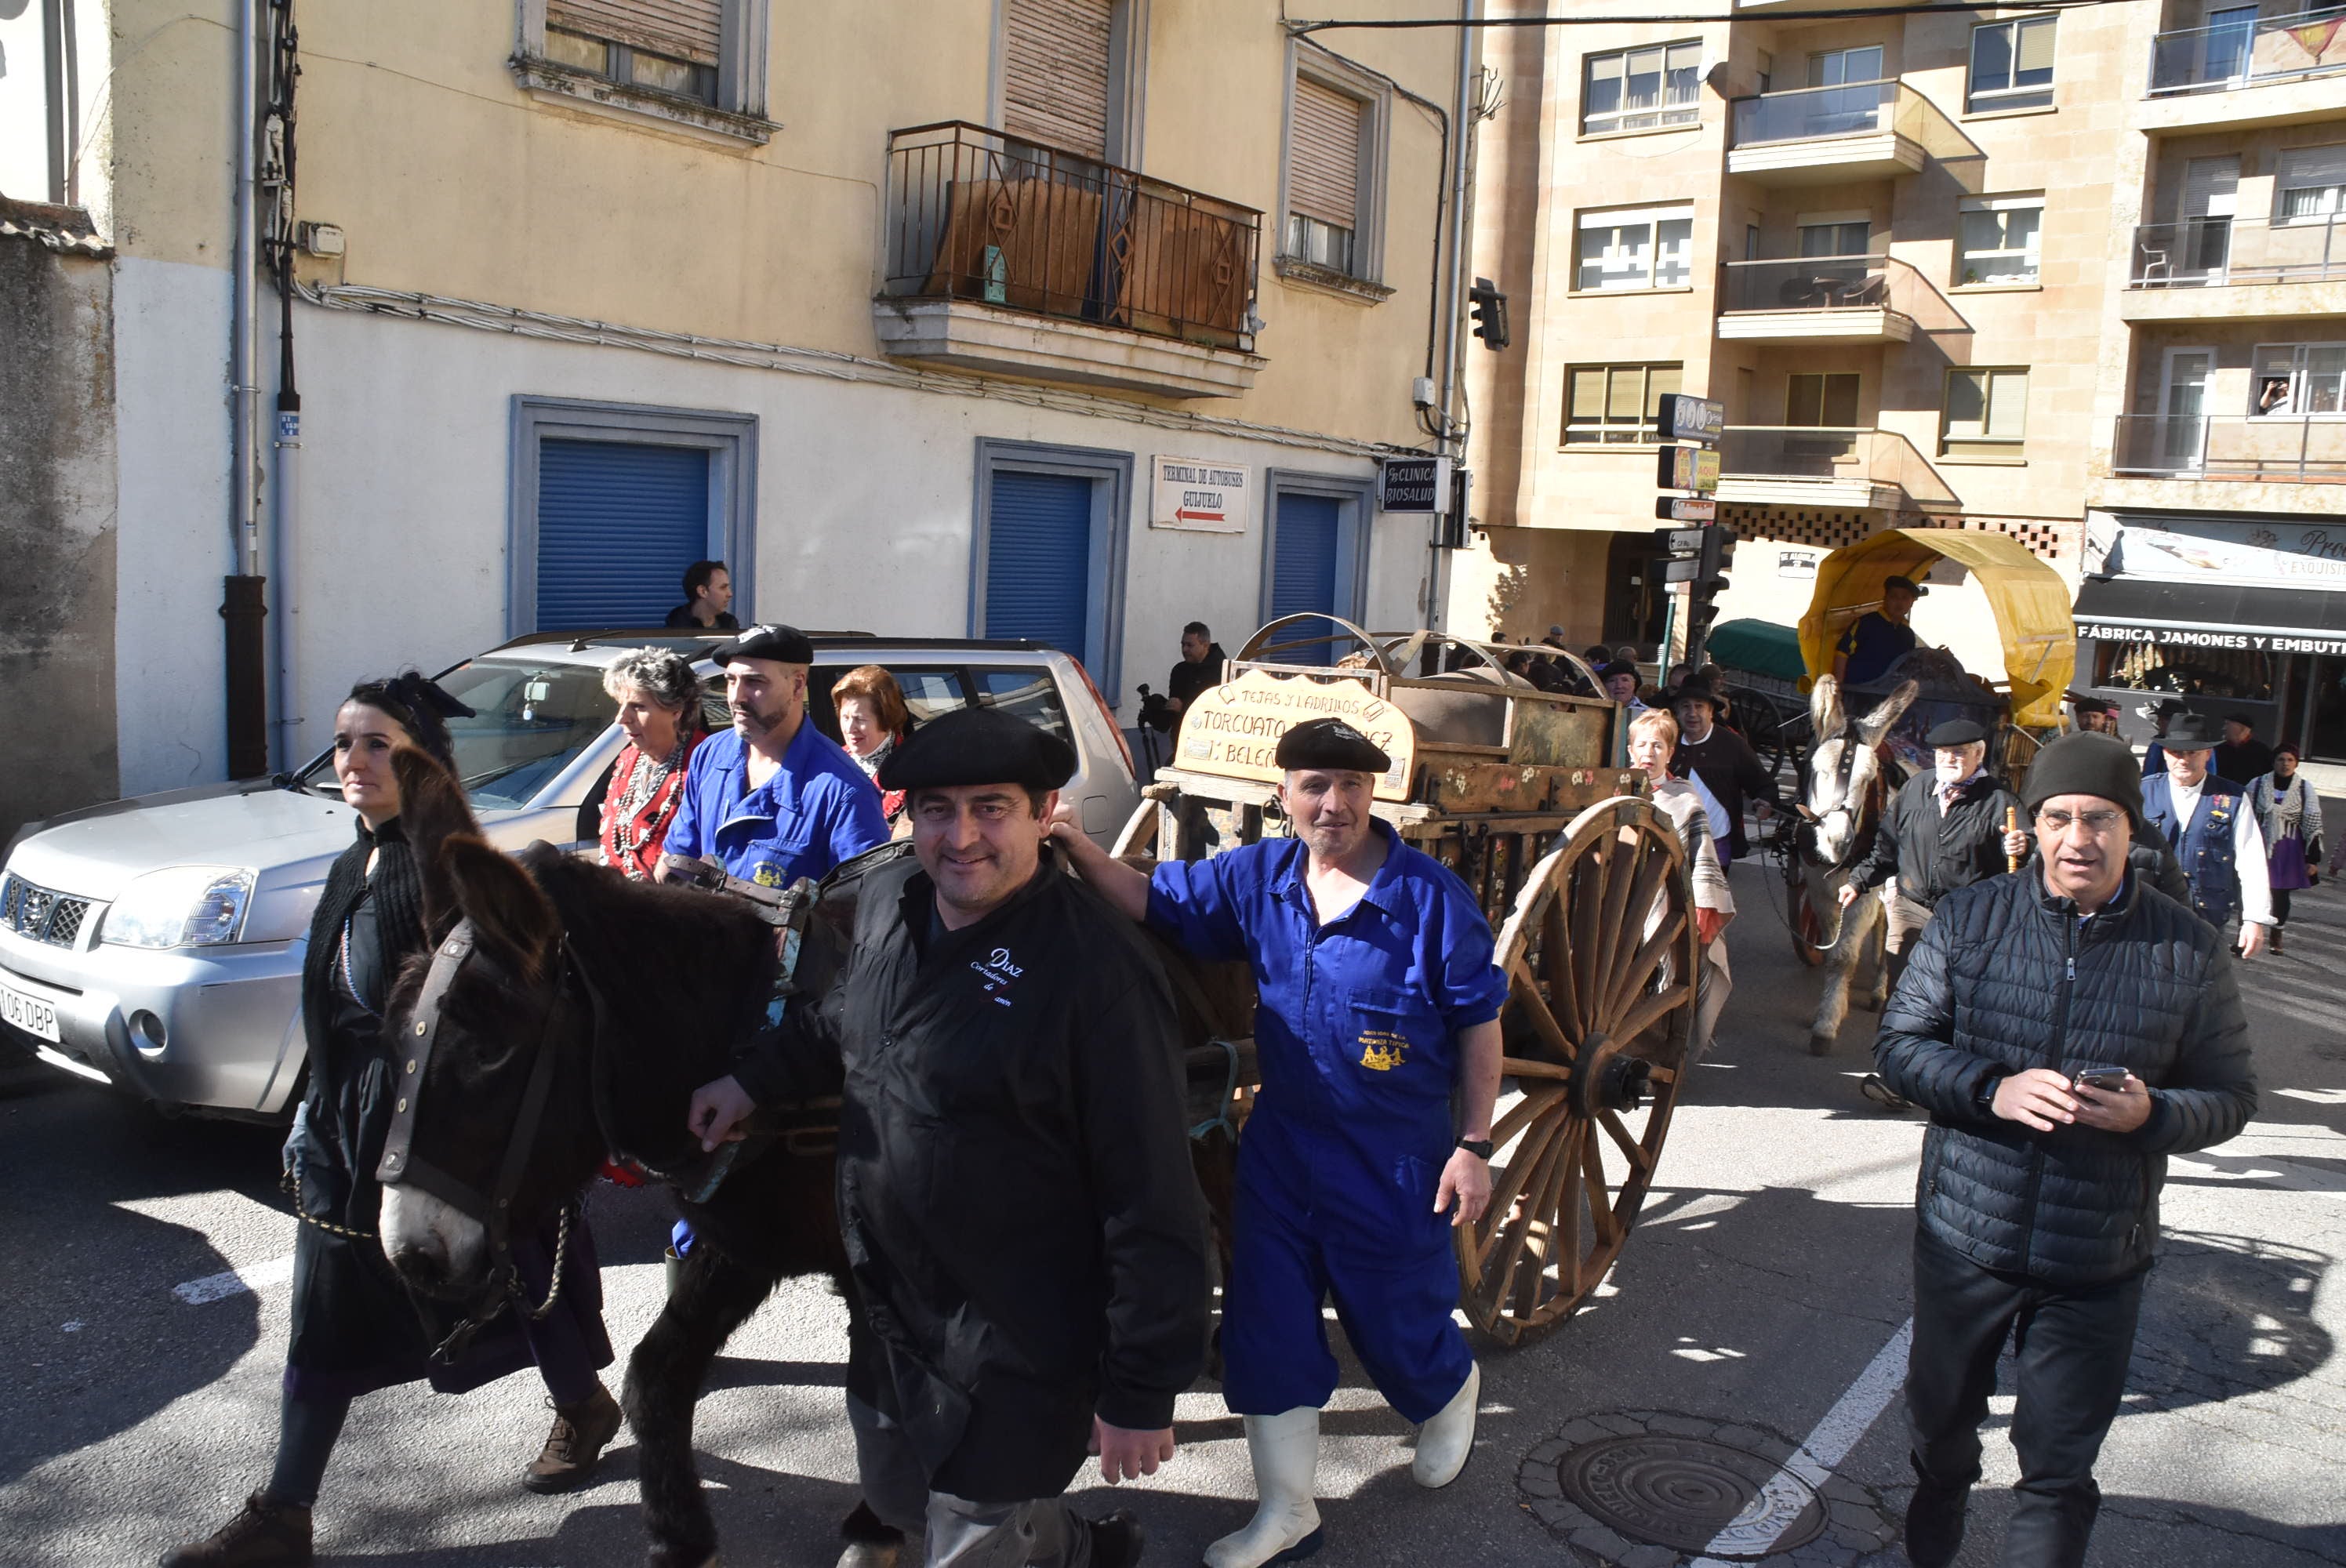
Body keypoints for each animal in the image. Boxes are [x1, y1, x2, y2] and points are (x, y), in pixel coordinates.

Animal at [1792, 676, 1905, 1051]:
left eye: (1868, 779)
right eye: (1818, 771)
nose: (1838, 842)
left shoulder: (1865, 897)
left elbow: (1843, 957)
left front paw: (1827, 1024)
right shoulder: (1818, 890)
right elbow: (1832, 952)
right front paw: (1830, 1007)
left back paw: (1880, 987)